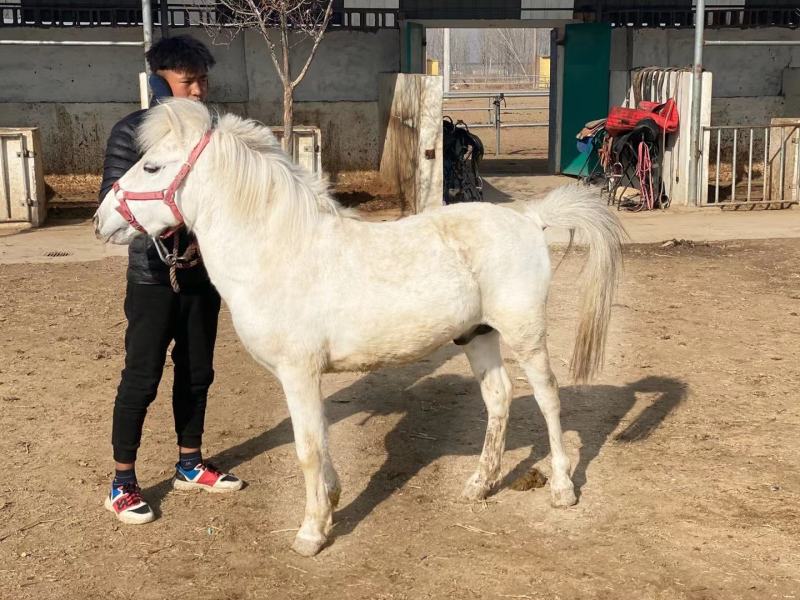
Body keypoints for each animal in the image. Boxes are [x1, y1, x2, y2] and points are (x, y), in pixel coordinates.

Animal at [94, 99, 625, 557]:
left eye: (152, 167)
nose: (100, 221)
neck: (282, 250)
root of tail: (529, 218)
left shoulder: (299, 373)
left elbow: (308, 448)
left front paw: (311, 533)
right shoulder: (306, 377)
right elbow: (320, 442)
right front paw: (330, 501)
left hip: (525, 335)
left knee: (549, 400)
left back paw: (562, 489)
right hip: (478, 335)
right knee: (499, 397)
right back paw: (479, 484)